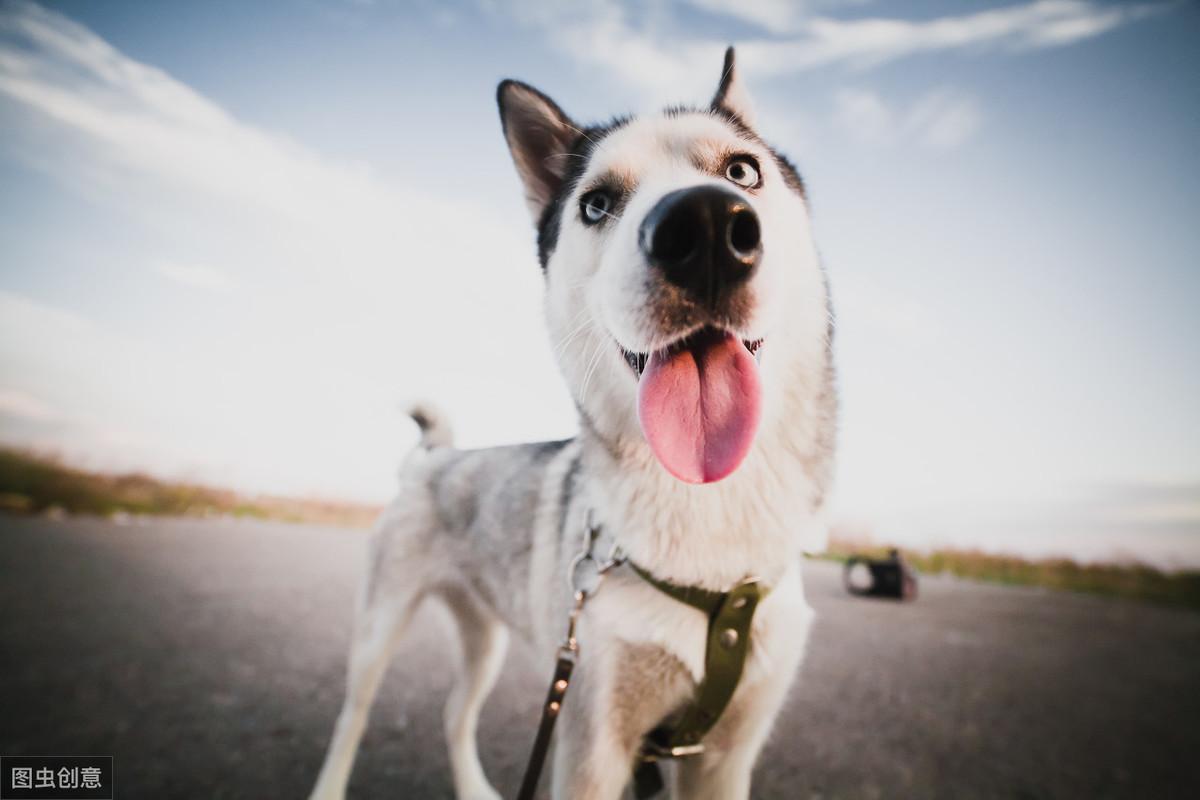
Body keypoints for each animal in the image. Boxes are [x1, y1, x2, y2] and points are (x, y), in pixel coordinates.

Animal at [312, 50, 835, 800]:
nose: (705, 225)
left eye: (741, 171)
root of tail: (433, 458)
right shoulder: (593, 739)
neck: (708, 523)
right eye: (596, 204)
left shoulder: (725, 755)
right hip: (380, 631)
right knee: (352, 716)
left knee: (453, 712)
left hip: (486, 636)